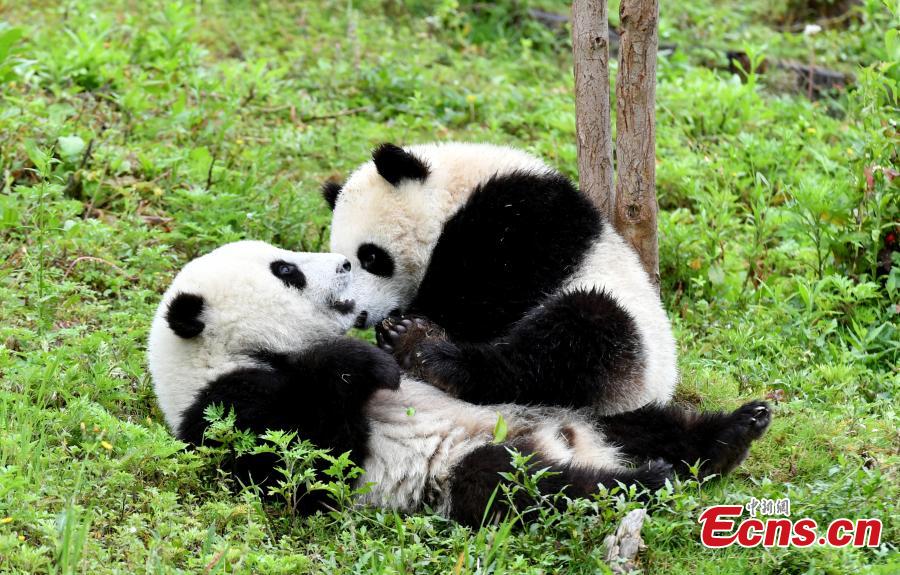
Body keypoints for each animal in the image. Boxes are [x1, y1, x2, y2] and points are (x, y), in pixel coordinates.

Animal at [144, 241, 768, 528]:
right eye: (287, 271)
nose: (344, 264)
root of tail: (573, 441)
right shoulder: (226, 406)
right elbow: (307, 463)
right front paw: (364, 364)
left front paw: (399, 345)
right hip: (463, 469)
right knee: (520, 486)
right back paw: (643, 482)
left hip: (565, 407)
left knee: (643, 423)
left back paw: (732, 433)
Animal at [324, 143, 676, 414]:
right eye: (344, 265)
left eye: (371, 257)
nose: (359, 314)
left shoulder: (528, 217)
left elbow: (489, 288)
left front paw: (415, 320)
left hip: (629, 338)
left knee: (571, 339)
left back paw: (430, 352)